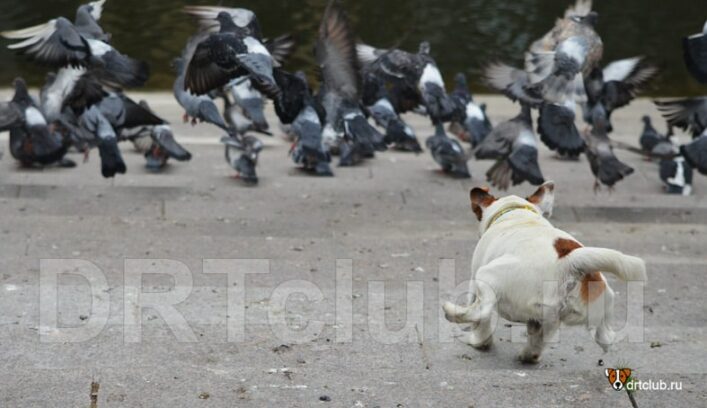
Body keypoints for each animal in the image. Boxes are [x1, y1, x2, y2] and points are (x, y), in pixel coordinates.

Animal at [442, 182, 648, 364]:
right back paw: (529, 355)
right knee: (604, 338)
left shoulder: (474, 278)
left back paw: (452, 312)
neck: (517, 213)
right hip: (580, 313)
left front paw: (480, 342)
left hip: (486, 275)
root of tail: (569, 262)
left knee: (482, 310)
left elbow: (482, 322)